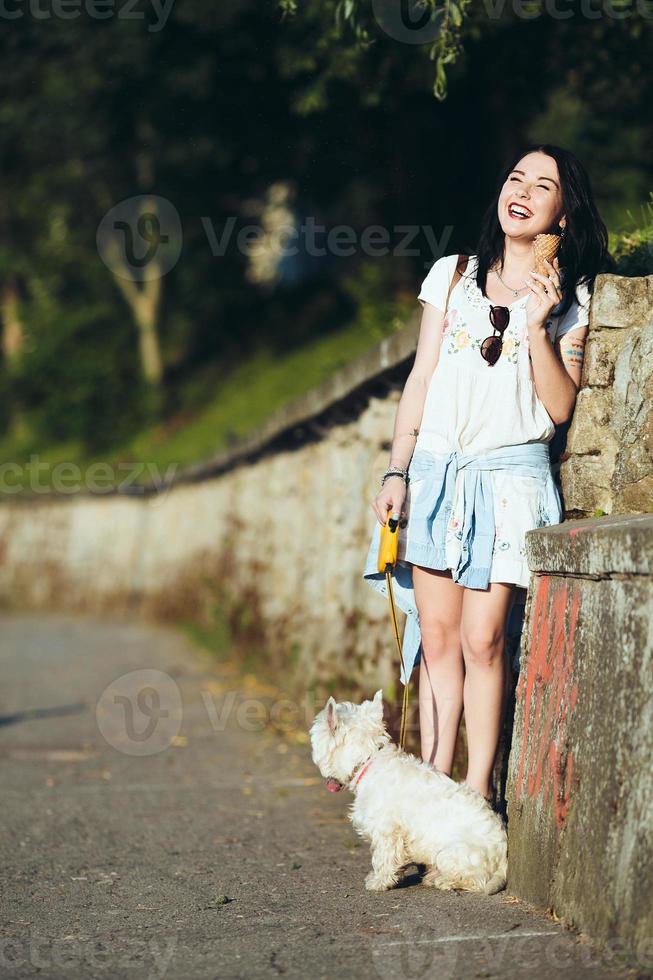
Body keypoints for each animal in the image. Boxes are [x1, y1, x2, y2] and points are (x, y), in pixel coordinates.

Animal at [310, 688, 510, 896]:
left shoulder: (387, 829)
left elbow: (384, 857)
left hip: (452, 853)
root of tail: (503, 858)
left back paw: (442, 880)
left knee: (475, 881)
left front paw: (379, 882)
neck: (367, 761)